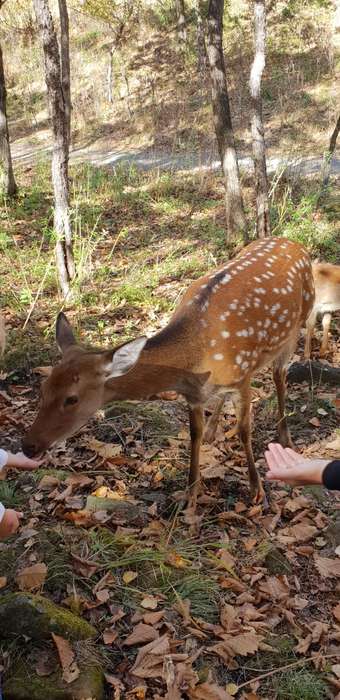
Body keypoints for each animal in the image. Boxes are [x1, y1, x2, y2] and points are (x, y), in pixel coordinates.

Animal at [23, 238, 314, 506]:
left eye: (72, 398)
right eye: (43, 388)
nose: (28, 446)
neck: (196, 355)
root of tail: (295, 243)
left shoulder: (243, 377)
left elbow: (244, 430)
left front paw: (256, 489)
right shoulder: (193, 394)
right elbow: (194, 434)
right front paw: (190, 494)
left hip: (296, 326)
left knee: (280, 375)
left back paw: (285, 436)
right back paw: (214, 429)